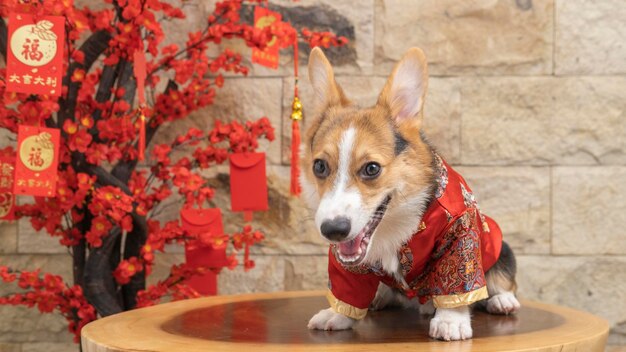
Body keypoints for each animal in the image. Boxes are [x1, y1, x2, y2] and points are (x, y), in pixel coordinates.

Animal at [300, 47, 520, 340]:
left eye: (372, 168)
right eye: (319, 166)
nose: (333, 230)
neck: (393, 223)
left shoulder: (460, 232)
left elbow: (459, 282)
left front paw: (450, 320)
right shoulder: (347, 262)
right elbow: (347, 291)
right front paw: (337, 314)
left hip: (499, 245)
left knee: (500, 278)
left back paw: (501, 300)